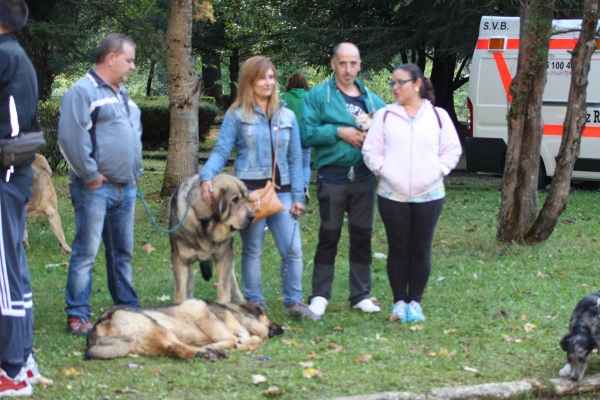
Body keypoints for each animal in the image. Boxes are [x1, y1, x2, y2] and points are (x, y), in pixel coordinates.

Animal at [84, 298, 284, 360]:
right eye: (266, 315)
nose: (282, 329)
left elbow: (252, 339)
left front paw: (242, 343)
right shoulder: (210, 320)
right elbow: (237, 338)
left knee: (177, 348)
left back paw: (211, 352)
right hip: (156, 326)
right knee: (178, 347)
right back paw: (207, 352)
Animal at [169, 173, 253, 302]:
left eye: (246, 198)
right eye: (234, 200)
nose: (252, 216)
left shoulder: (224, 256)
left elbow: (224, 287)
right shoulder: (180, 260)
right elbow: (180, 291)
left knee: (233, 285)